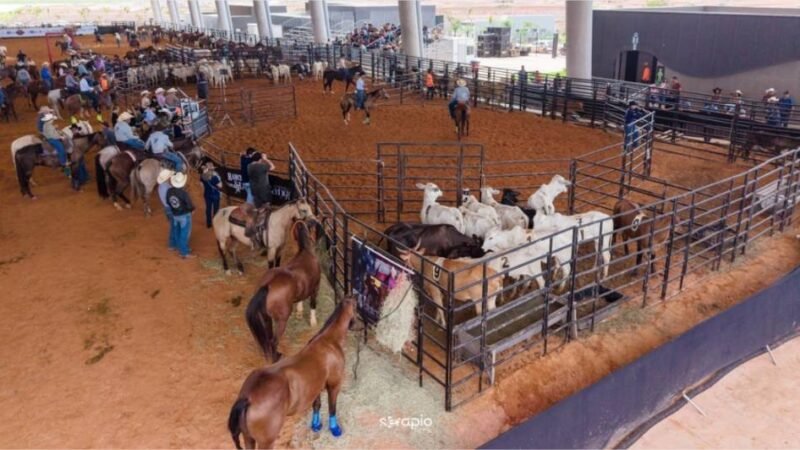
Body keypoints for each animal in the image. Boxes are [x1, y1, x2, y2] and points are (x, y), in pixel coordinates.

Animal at [228, 296, 356, 449]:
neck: (329, 340)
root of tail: (247, 398)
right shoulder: (334, 385)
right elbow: (332, 408)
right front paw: (334, 428)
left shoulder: (316, 388)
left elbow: (317, 405)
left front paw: (316, 425)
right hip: (266, 442)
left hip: (249, 438)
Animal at [246, 220, 321, 362]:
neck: (305, 251)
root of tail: (267, 286)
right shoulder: (315, 288)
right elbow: (313, 305)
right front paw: (313, 322)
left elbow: (301, 300)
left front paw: (299, 312)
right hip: (281, 321)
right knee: (273, 341)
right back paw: (276, 357)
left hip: (267, 320)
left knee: (268, 340)